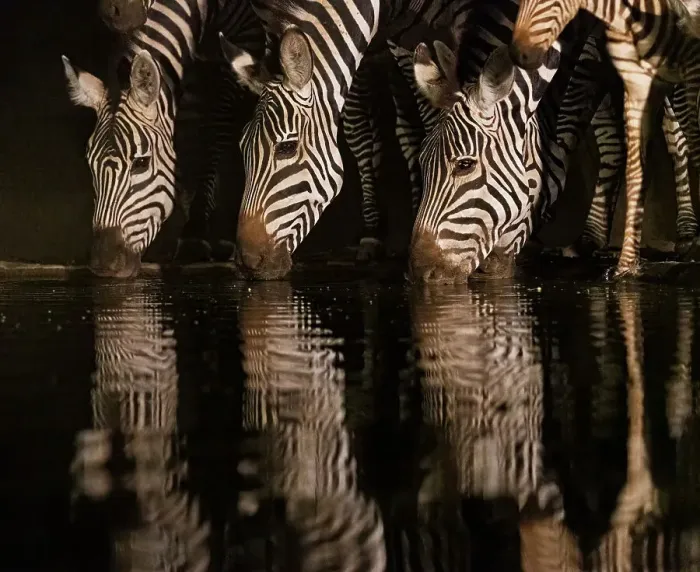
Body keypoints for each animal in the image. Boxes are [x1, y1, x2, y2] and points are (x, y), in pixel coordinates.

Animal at [62, 0, 264, 278]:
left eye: (141, 163)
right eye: (89, 163)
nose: (105, 265)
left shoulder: (245, 39)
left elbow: (214, 129)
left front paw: (197, 232)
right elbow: (188, 131)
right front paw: (194, 228)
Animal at [509, 0, 700, 279]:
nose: (519, 55)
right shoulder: (609, 67)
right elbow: (618, 150)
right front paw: (601, 243)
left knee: (679, 137)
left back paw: (687, 231)